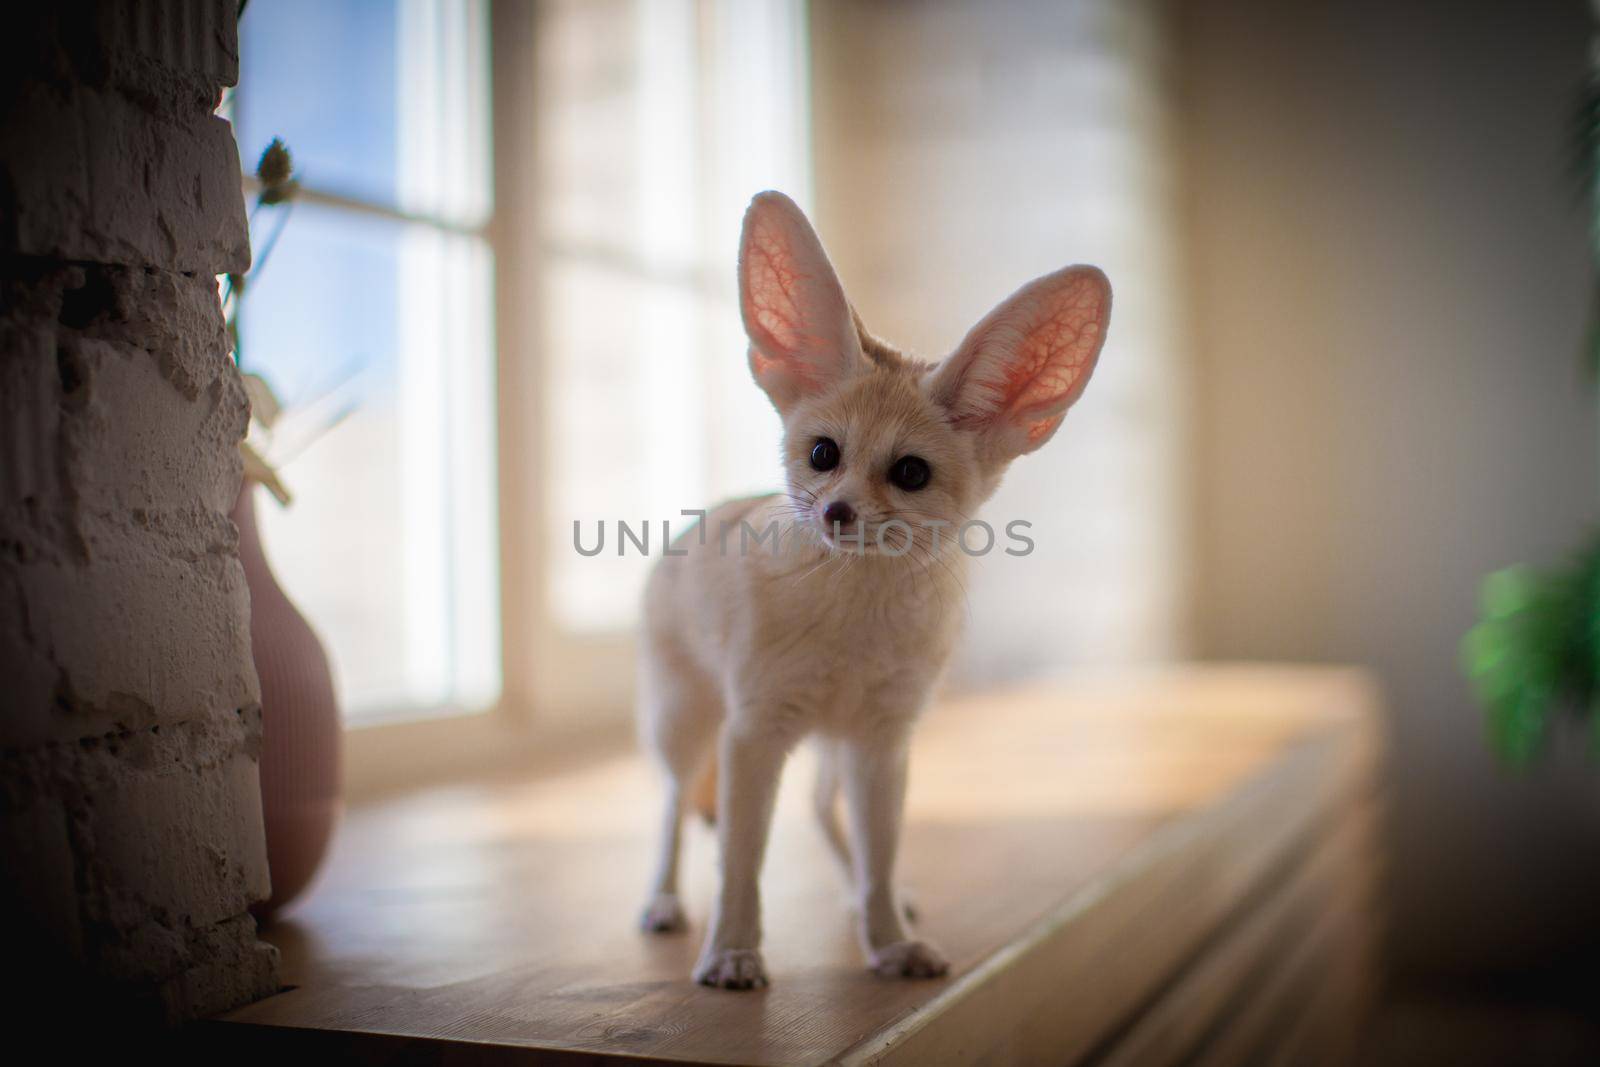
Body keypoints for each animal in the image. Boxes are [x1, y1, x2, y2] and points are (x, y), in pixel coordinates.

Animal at [636, 191, 1113, 991]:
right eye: (823, 454)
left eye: (910, 473)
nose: (835, 511)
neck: (853, 619)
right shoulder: (753, 730)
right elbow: (740, 860)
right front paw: (733, 952)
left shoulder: (883, 739)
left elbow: (881, 850)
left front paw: (888, 937)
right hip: (686, 723)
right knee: (672, 805)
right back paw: (664, 901)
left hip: (832, 747)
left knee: (821, 810)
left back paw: (858, 897)